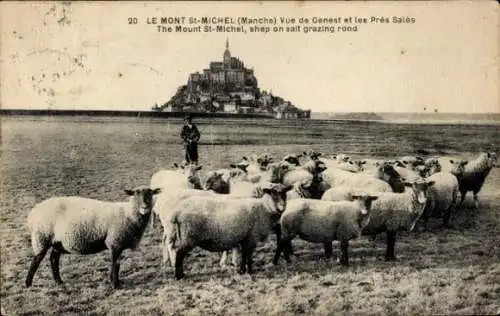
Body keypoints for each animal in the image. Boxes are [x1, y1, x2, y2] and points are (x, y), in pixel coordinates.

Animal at [24, 186, 160, 290]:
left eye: (150, 195)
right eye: (135, 195)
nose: (144, 208)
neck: (128, 213)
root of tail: (32, 213)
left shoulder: (118, 244)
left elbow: (117, 264)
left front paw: (116, 282)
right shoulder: (114, 242)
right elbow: (115, 264)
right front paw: (114, 284)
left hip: (57, 242)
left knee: (53, 259)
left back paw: (59, 282)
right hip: (41, 237)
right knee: (36, 261)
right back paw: (28, 284)